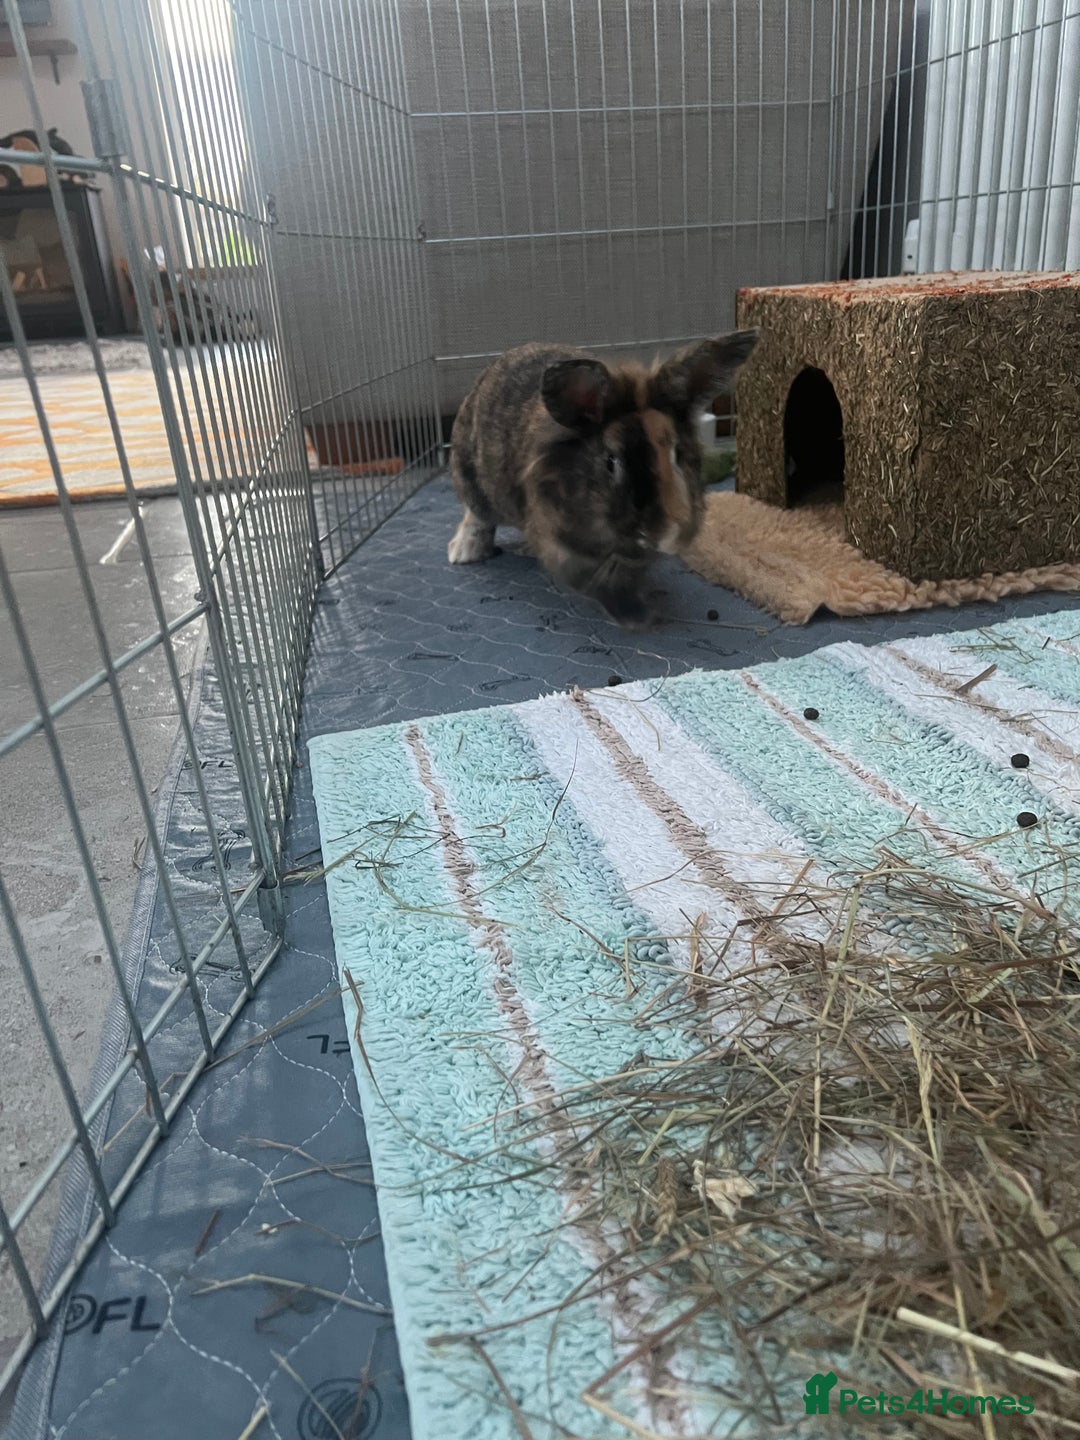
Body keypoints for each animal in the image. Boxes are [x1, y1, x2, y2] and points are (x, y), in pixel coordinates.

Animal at [447, 330, 758, 627]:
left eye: (678, 454)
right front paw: (638, 619)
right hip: (471, 476)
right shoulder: (565, 549)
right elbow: (602, 583)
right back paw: (465, 552)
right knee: (477, 515)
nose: (666, 533)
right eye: (611, 462)